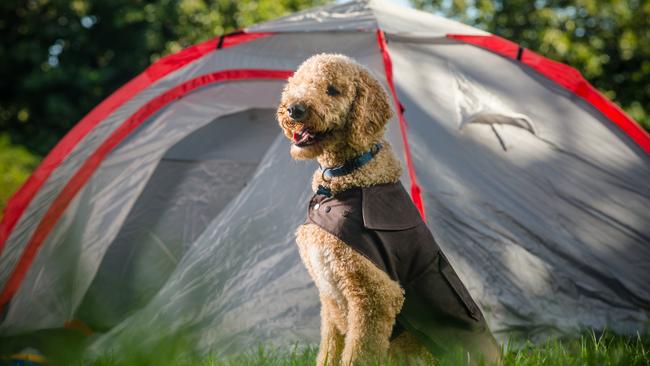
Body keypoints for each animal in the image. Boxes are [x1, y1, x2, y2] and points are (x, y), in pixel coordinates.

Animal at [276, 54, 498, 366]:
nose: (294, 109)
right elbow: (328, 352)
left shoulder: (374, 295)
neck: (350, 176)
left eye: (332, 90)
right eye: (301, 82)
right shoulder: (330, 299)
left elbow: (358, 355)